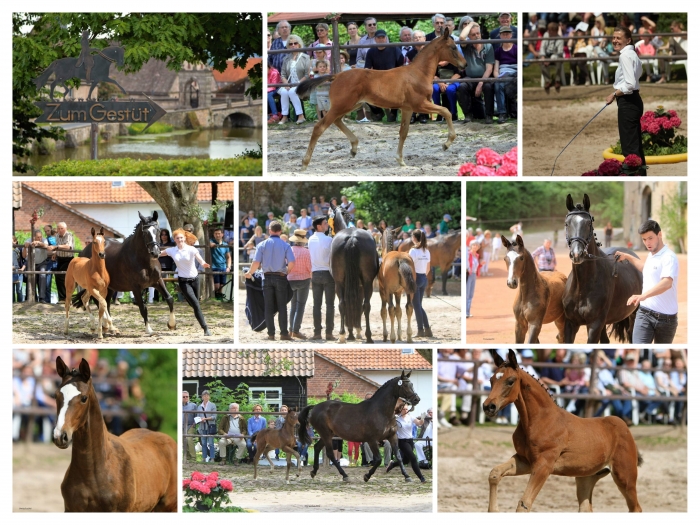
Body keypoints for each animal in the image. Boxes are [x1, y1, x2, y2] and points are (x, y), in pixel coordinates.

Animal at [330, 205, 380, 344]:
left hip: (340, 282)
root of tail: (352, 238)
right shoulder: (360, 285)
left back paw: (343, 335)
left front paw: (353, 332)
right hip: (366, 282)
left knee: (344, 304)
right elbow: (357, 306)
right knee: (364, 305)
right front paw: (355, 331)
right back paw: (367, 336)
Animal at [560, 194, 644, 342]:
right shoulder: (570, 323)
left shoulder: (595, 324)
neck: (582, 286)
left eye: (589, 224)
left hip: (633, 314)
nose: (577, 254)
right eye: (567, 223)